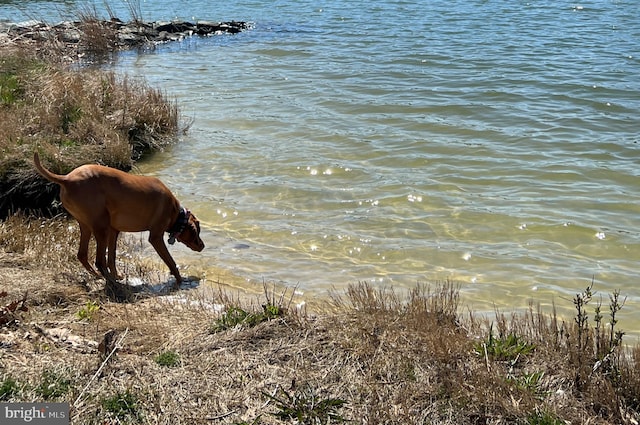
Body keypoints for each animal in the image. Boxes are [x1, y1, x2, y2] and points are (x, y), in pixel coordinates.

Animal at [33, 152, 205, 288]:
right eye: (197, 232)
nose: (203, 246)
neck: (176, 214)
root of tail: (67, 178)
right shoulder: (155, 237)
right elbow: (171, 261)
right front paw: (180, 280)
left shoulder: (114, 231)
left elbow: (112, 257)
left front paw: (117, 275)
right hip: (100, 227)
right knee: (98, 260)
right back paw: (109, 281)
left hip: (87, 225)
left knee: (82, 255)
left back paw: (100, 276)